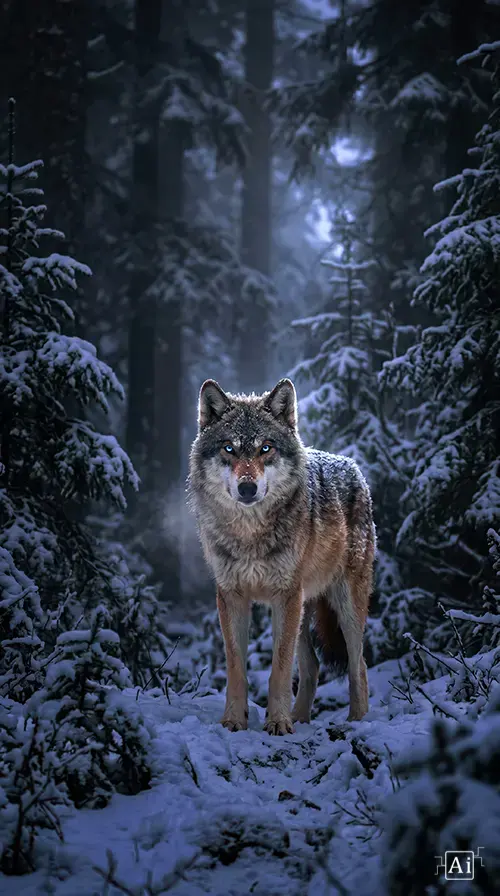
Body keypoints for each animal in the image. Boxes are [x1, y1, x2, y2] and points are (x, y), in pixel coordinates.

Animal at [188, 377, 376, 736]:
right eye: (229, 448)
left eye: (266, 448)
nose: (248, 488)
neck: (250, 534)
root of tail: (353, 467)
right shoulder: (231, 596)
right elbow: (237, 667)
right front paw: (234, 721)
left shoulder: (285, 595)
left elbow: (279, 667)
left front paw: (277, 722)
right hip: (302, 608)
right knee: (312, 666)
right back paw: (300, 718)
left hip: (343, 604)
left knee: (357, 663)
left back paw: (357, 722)